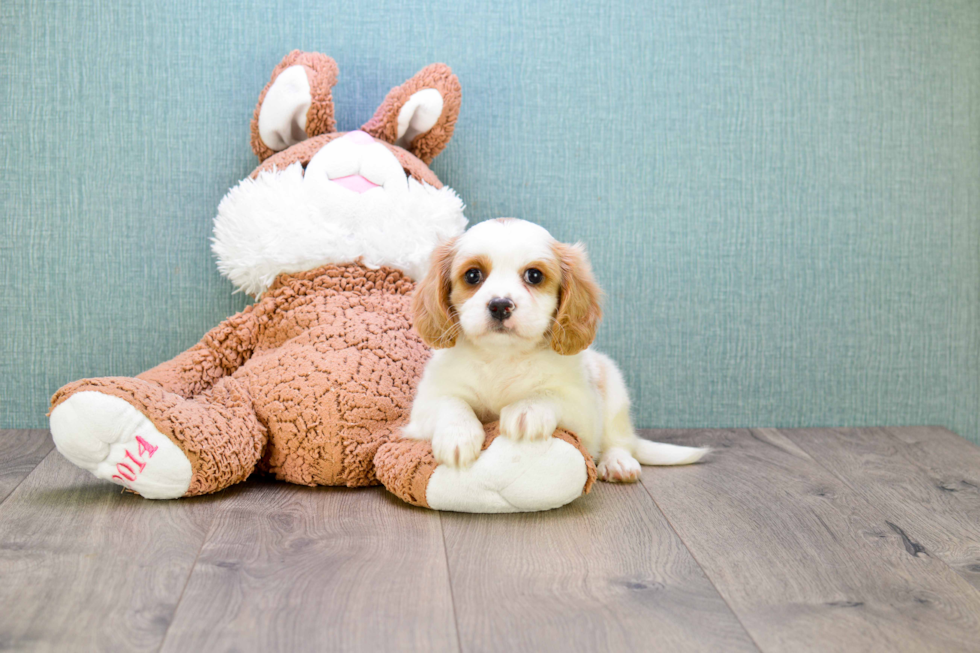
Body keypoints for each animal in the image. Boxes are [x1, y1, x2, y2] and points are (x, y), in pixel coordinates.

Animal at [402, 216, 708, 482]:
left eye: (534, 276)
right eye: (473, 275)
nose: (500, 305)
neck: (503, 356)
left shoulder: (583, 409)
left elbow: (549, 395)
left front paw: (526, 411)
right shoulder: (426, 403)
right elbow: (452, 402)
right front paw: (458, 435)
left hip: (614, 391)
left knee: (619, 439)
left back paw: (618, 462)